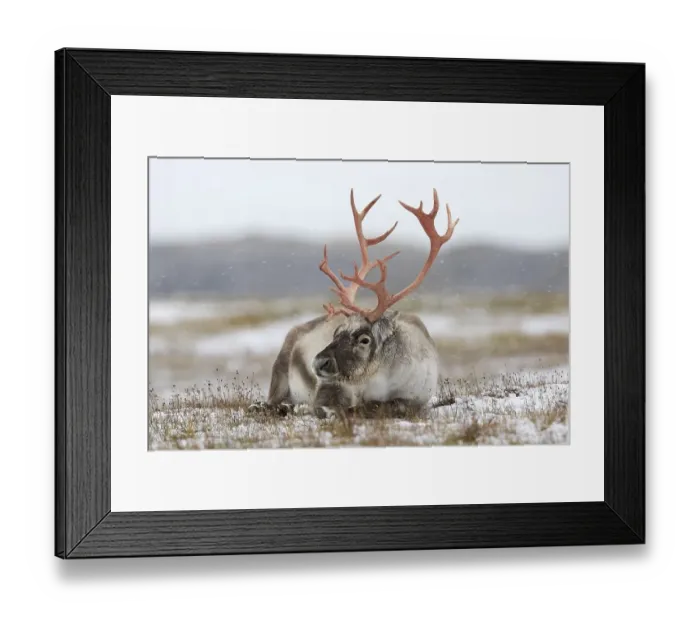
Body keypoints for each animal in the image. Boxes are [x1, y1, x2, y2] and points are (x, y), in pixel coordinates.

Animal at [258, 188, 459, 419]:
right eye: (336, 332)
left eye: (364, 339)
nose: (318, 362)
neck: (382, 380)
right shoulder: (330, 387)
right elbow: (331, 404)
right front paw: (320, 409)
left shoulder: (417, 396)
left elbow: (389, 405)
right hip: (281, 371)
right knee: (272, 401)